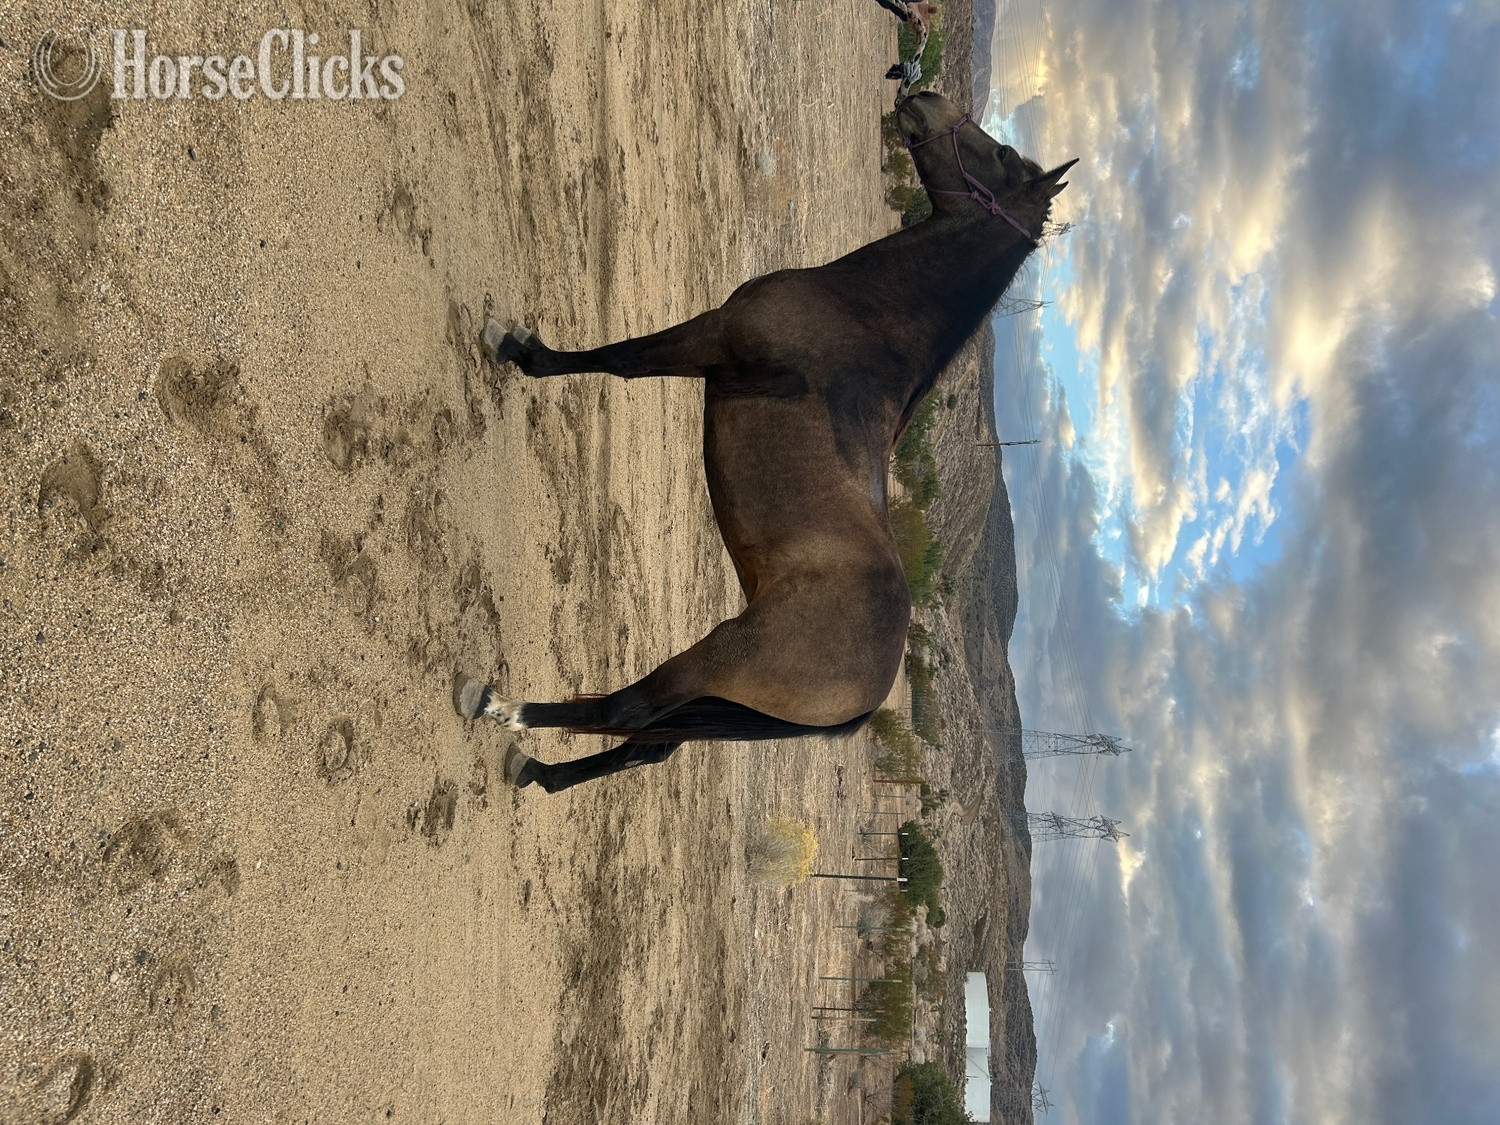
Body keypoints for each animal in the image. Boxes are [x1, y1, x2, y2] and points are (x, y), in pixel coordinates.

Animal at [455, 90, 1075, 793]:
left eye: (1001, 154)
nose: (922, 96)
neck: (867, 322)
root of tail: (867, 701)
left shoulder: (712, 338)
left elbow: (620, 361)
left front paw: (519, 350)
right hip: (722, 700)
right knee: (645, 745)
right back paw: (538, 772)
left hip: (719, 659)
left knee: (627, 710)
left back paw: (503, 709)